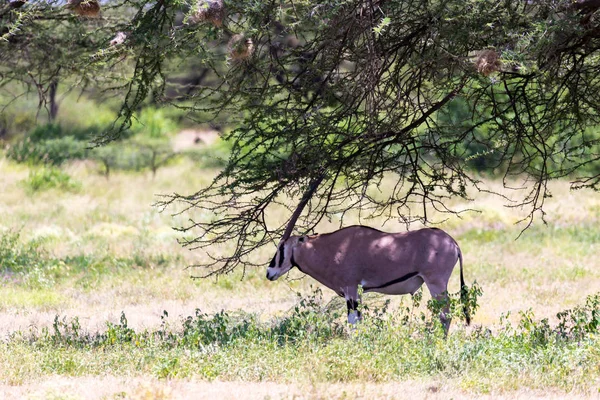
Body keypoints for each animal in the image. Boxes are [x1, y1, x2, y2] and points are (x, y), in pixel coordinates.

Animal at [266, 225, 468, 334]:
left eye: (281, 247)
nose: (269, 272)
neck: (331, 248)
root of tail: (452, 243)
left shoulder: (351, 289)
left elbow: (353, 321)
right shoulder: (357, 293)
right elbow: (360, 320)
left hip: (436, 283)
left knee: (445, 314)